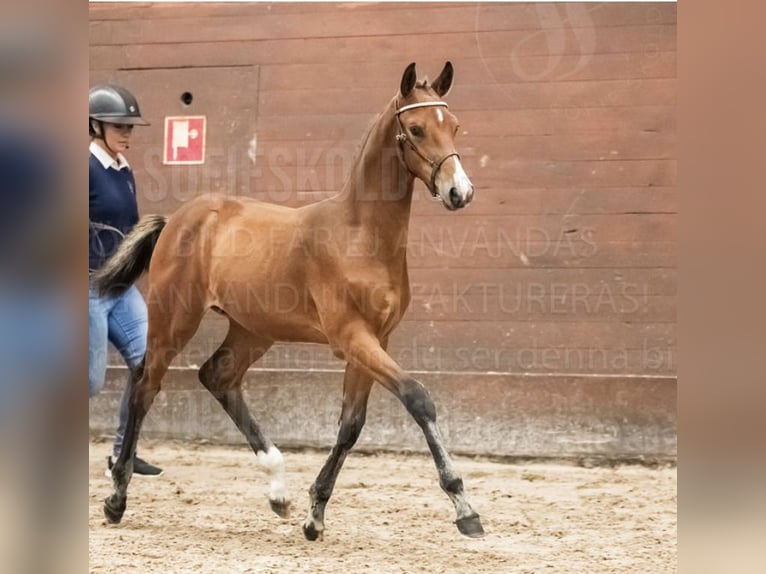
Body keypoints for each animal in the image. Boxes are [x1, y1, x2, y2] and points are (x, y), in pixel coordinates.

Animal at [93, 62, 484, 540]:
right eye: (415, 128)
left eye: (455, 126)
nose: (459, 192)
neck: (361, 236)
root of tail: (178, 219)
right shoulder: (352, 337)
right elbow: (417, 398)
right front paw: (465, 508)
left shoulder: (376, 340)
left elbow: (351, 425)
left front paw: (315, 515)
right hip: (174, 319)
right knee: (145, 387)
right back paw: (116, 498)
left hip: (252, 329)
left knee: (218, 377)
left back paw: (278, 490)